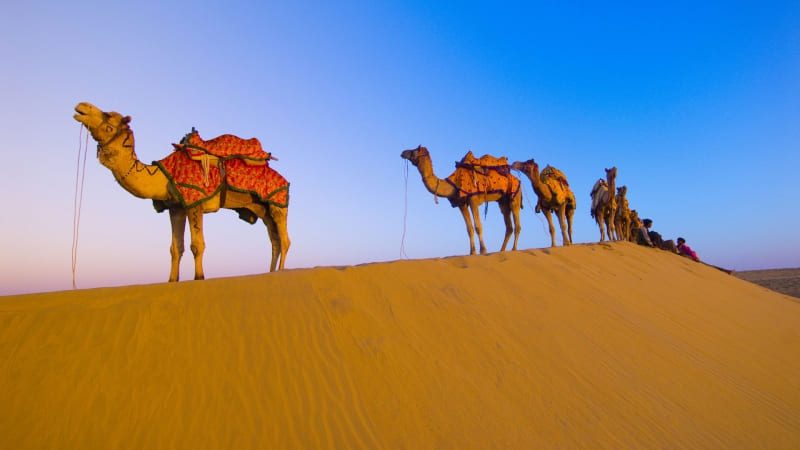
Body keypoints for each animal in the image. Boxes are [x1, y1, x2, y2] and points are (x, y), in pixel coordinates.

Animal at [72, 103, 290, 284]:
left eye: (108, 118)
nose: (81, 106)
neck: (163, 175)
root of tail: (284, 179)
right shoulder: (175, 207)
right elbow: (175, 248)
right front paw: (172, 280)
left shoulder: (195, 202)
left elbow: (197, 245)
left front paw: (199, 277)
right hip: (261, 208)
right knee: (274, 240)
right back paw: (271, 272)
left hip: (277, 203)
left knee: (284, 240)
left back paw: (280, 271)